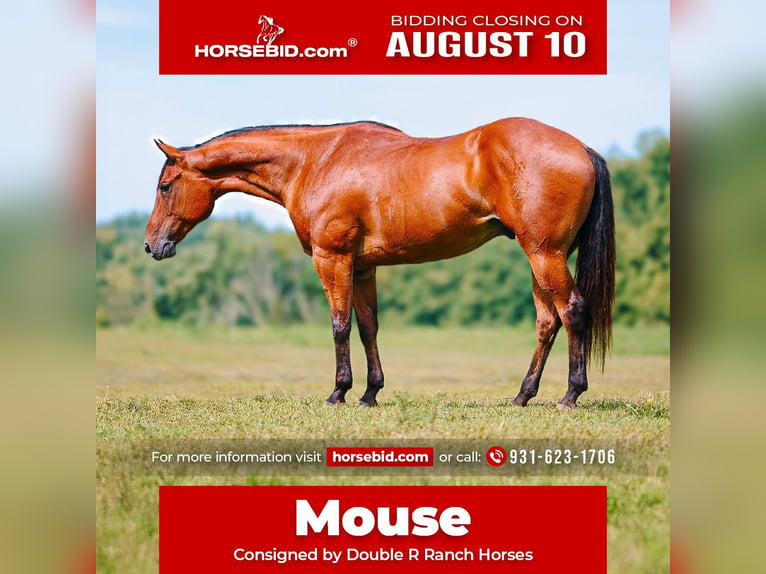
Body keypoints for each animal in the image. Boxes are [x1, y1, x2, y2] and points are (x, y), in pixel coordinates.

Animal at [144, 118, 615, 409]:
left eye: (165, 186)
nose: (151, 246)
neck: (314, 161)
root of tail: (582, 147)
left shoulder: (332, 258)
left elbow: (339, 325)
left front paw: (338, 392)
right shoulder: (363, 266)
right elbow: (368, 325)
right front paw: (370, 393)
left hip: (545, 253)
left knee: (572, 310)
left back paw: (570, 395)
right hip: (540, 256)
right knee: (547, 322)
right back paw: (523, 395)